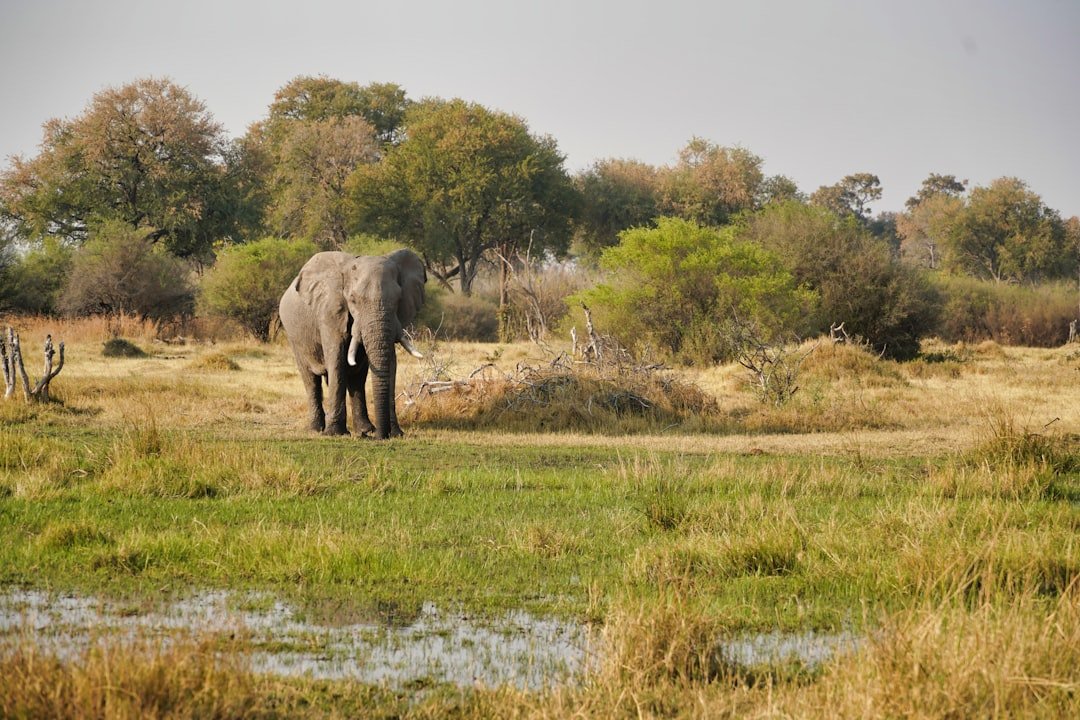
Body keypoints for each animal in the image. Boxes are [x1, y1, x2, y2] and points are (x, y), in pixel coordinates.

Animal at [278, 249, 426, 439]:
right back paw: (316, 429)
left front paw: (395, 433)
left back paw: (365, 429)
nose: (380, 436)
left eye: (398, 299)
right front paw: (334, 433)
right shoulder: (330, 312)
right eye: (353, 299)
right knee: (310, 378)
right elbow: (337, 360)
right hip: (294, 335)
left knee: (357, 378)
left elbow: (390, 362)